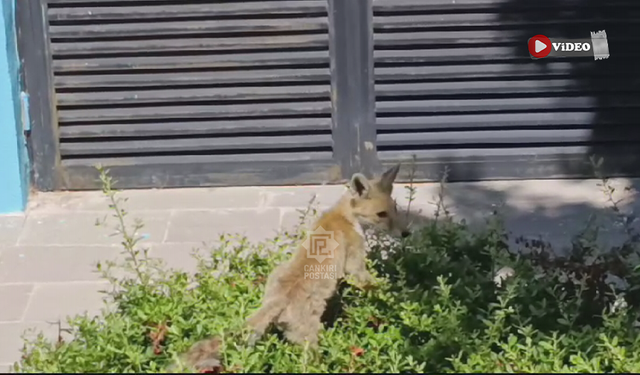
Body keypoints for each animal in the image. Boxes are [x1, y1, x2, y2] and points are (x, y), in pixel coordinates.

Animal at [176, 165, 410, 374]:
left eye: (395, 209)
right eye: (381, 214)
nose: (406, 233)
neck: (343, 216)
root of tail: (276, 300)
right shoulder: (354, 264)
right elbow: (371, 282)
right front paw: (392, 294)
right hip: (312, 339)